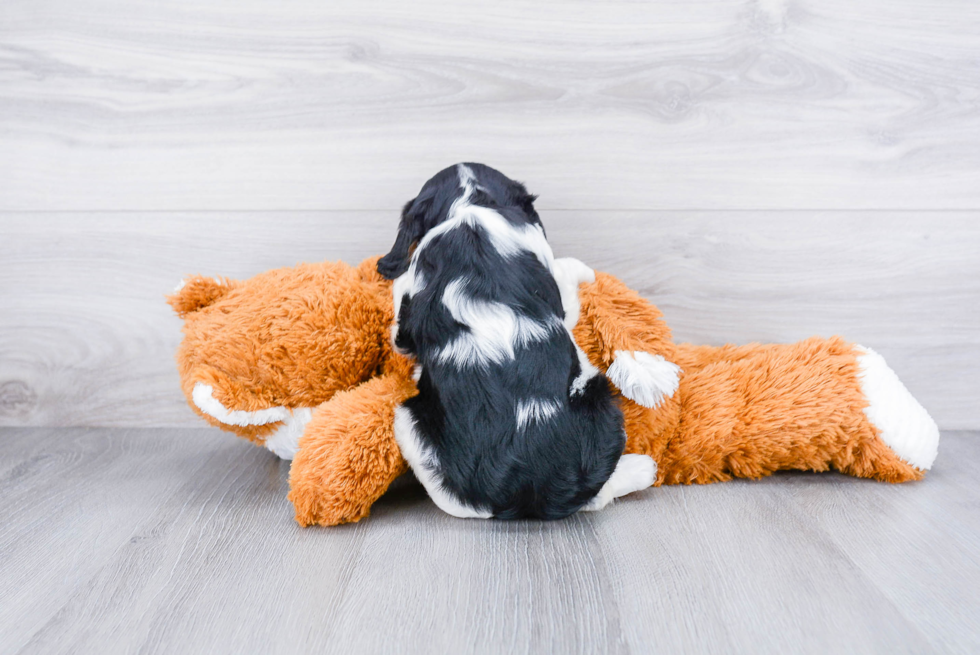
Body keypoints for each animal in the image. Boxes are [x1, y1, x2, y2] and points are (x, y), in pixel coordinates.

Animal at [378, 165, 656, 524]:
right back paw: (643, 468)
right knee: (595, 493)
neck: (468, 206)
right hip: (599, 402)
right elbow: (567, 278)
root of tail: (532, 481)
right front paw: (585, 271)